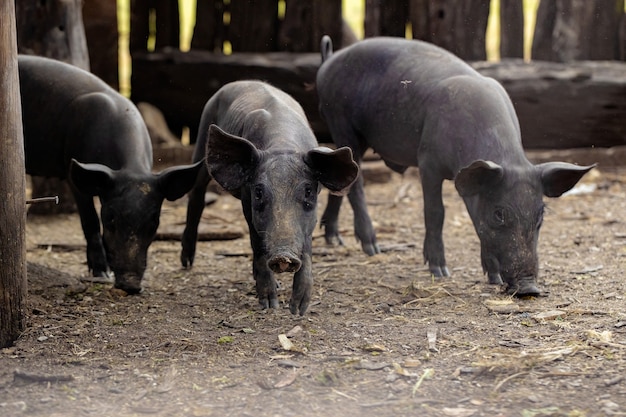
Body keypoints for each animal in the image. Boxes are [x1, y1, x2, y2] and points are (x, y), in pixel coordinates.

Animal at [180, 80, 356, 316]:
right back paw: (187, 263)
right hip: (202, 140)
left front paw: (297, 310)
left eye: (308, 191)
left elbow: (307, 245)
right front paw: (269, 305)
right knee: (196, 194)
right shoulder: (247, 200)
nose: (283, 257)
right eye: (259, 192)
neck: (282, 144)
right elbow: (257, 243)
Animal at [314, 36, 592, 296]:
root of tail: (328, 61)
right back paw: (372, 248)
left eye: (540, 216)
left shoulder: (468, 182)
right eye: (499, 214)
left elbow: (475, 220)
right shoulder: (428, 162)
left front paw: (494, 278)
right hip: (341, 122)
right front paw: (440, 271)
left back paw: (334, 239)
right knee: (356, 183)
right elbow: (436, 212)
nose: (529, 288)